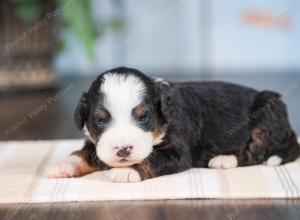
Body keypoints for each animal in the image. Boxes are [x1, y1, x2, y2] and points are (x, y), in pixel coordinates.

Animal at [48, 66, 298, 182]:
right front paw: (63, 165)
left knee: (256, 152)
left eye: (144, 117)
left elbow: (151, 158)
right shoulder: (97, 144)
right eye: (100, 120)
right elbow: (83, 152)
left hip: (267, 111)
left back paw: (224, 159)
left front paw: (127, 170)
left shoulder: (179, 150)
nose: (123, 149)